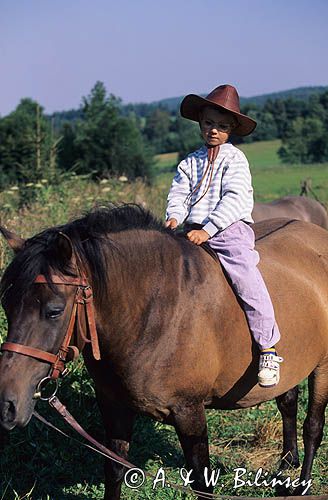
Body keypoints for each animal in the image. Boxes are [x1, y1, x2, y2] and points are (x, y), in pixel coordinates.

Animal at [0, 205, 328, 498]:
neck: (155, 313)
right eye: (7, 306)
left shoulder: (189, 413)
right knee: (287, 401)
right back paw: (286, 465)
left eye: (54, 311)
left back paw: (301, 485)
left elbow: (202, 483)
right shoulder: (114, 406)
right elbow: (114, 469)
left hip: (323, 366)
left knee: (313, 426)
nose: (7, 405)